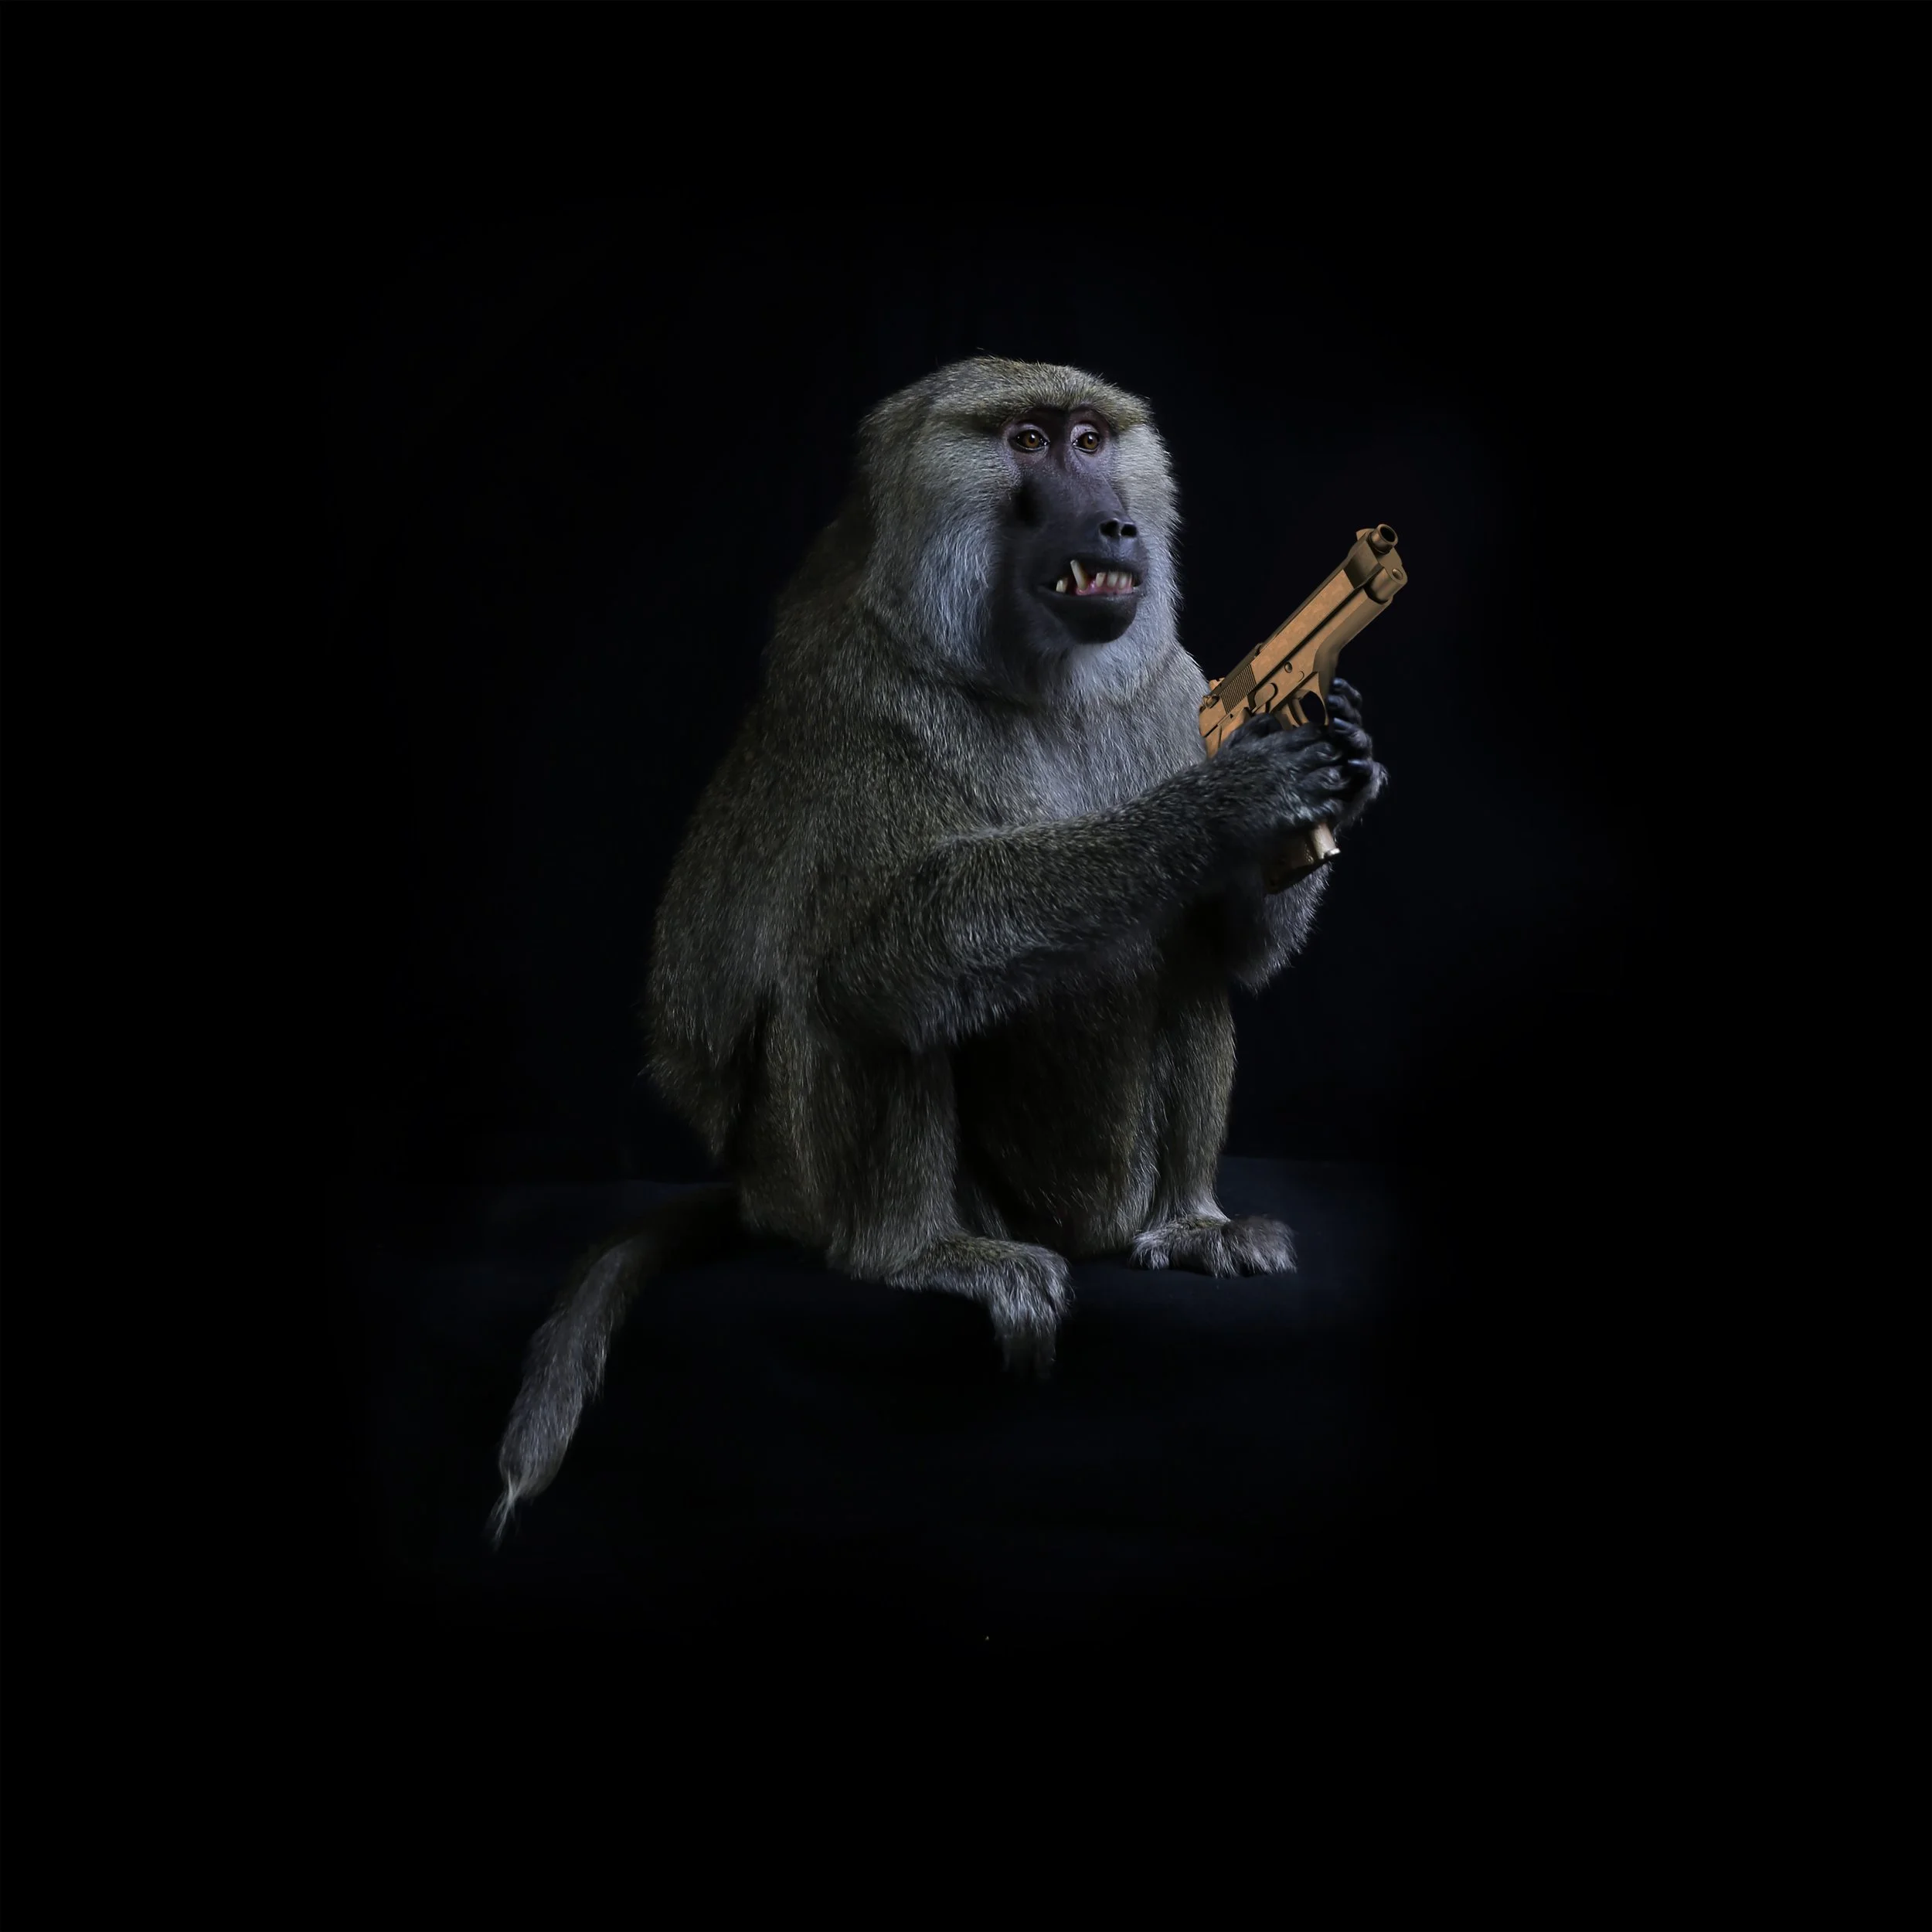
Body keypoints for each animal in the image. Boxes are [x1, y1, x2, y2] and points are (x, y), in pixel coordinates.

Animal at [489, 357, 1385, 1546]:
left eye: (1092, 438)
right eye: (1025, 441)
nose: (1114, 521)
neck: (1036, 675)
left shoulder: (1172, 682)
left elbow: (1227, 941)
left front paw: (1346, 752)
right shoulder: (863, 702)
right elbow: (889, 947)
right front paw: (1218, 807)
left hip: (1089, 1207)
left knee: (1183, 969)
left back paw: (1187, 1225)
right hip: (804, 1189)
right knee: (854, 986)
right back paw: (918, 1258)